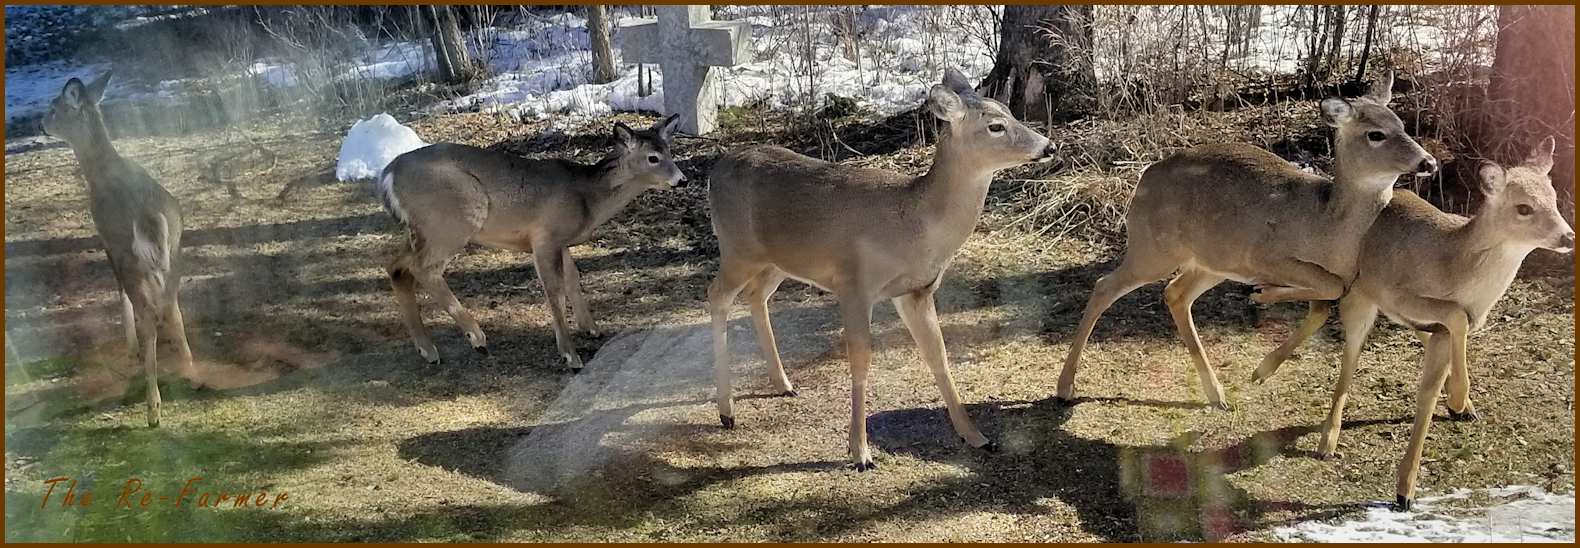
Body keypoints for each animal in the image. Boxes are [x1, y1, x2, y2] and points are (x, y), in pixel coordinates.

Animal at [42, 71, 197, 427]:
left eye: (54, 107)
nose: (41, 124)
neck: (98, 172)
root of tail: (149, 218)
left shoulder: (107, 240)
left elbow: (119, 293)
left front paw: (129, 348)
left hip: (131, 255)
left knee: (150, 315)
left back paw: (153, 407)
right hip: (175, 251)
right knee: (172, 309)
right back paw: (191, 371)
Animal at [378, 114, 684, 369]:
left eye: (670, 151)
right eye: (653, 158)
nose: (681, 179)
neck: (588, 197)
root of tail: (388, 175)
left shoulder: (560, 240)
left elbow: (573, 279)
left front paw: (592, 327)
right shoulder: (545, 236)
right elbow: (554, 291)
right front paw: (570, 355)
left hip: (421, 230)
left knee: (396, 267)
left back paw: (428, 350)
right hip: (453, 219)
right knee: (422, 268)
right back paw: (476, 336)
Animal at [706, 68, 1057, 470]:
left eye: (1010, 111)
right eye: (996, 126)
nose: (1049, 146)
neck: (914, 223)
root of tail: (715, 171)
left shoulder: (916, 290)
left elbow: (937, 354)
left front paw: (977, 436)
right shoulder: (854, 284)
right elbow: (862, 360)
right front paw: (860, 452)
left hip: (778, 260)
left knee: (756, 295)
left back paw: (784, 385)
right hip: (737, 248)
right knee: (717, 295)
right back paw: (727, 411)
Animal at [1055, 71, 1439, 409]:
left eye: (1402, 125)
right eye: (1376, 134)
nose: (1429, 162)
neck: (1327, 226)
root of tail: (1144, 177)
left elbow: (1321, 305)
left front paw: (1263, 366)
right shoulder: (1268, 254)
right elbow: (1329, 290)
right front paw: (1263, 295)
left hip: (1213, 261)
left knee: (1175, 293)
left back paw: (1216, 393)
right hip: (1155, 248)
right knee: (1105, 285)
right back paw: (1065, 387)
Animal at [1250, 137, 1574, 511]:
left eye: (1553, 197)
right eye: (1523, 207)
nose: (1568, 237)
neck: (1455, 266)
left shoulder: (1440, 331)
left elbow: (1429, 390)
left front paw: (1409, 484)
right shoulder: (1399, 293)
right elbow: (1454, 319)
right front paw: (1457, 401)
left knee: (1329, 307)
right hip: (1361, 293)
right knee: (1339, 335)